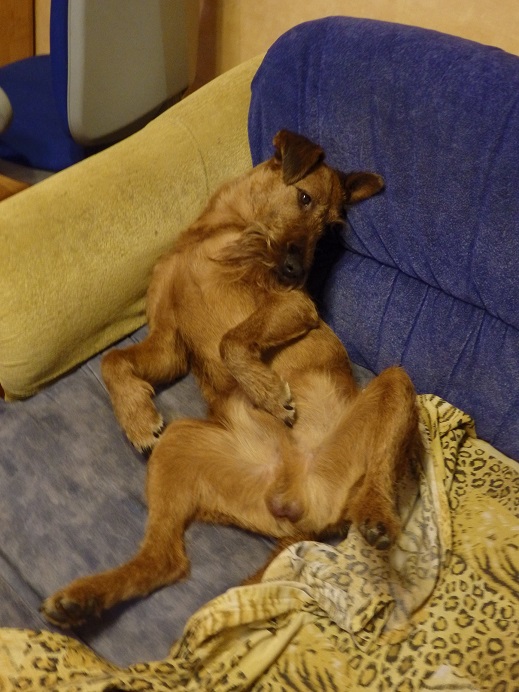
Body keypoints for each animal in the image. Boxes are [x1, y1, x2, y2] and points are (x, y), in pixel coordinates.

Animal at [41, 130, 422, 627]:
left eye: (330, 229)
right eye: (304, 198)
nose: (296, 273)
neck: (218, 232)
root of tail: (302, 503)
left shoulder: (294, 305)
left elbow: (229, 340)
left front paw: (266, 392)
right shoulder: (168, 342)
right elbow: (114, 361)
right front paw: (137, 418)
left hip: (393, 388)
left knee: (380, 469)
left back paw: (376, 514)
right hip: (180, 444)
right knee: (167, 561)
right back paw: (84, 599)